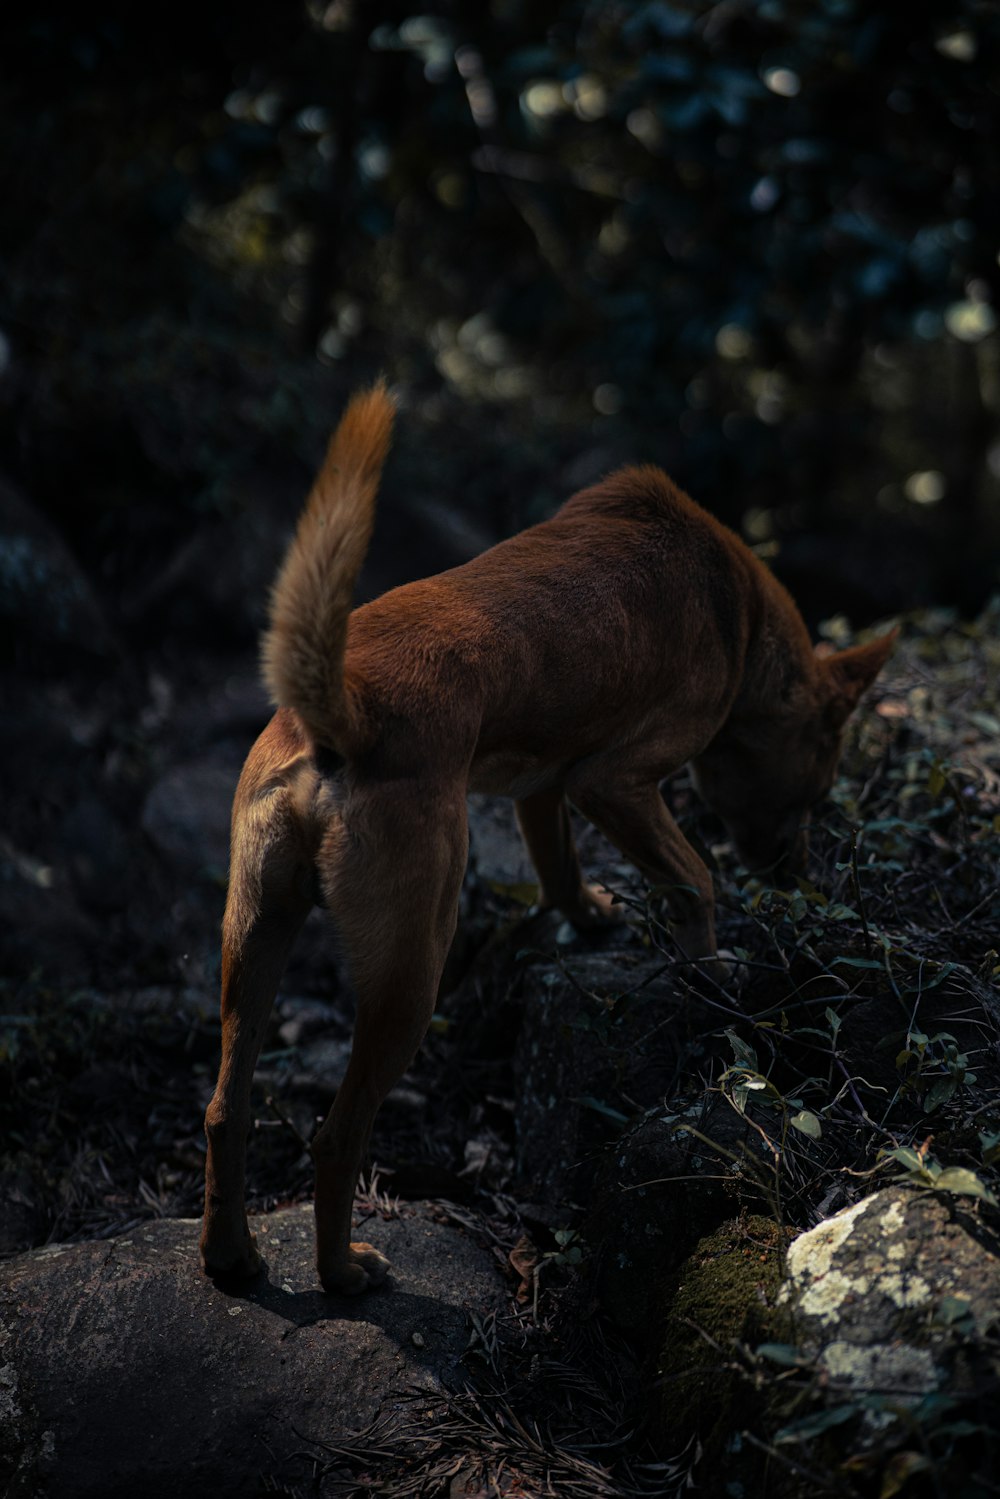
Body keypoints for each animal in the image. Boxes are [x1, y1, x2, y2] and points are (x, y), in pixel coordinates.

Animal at [199, 380, 893, 1295]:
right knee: (337, 1134)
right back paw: (344, 1271)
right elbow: (695, 879)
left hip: (256, 933)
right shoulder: (618, 779)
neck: (737, 609)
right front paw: (711, 975)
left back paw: (230, 1256)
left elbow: (559, 867)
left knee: (225, 1108)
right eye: (813, 793)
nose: (799, 875)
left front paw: (593, 917)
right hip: (413, 965)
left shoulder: (545, 783)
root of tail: (340, 714)